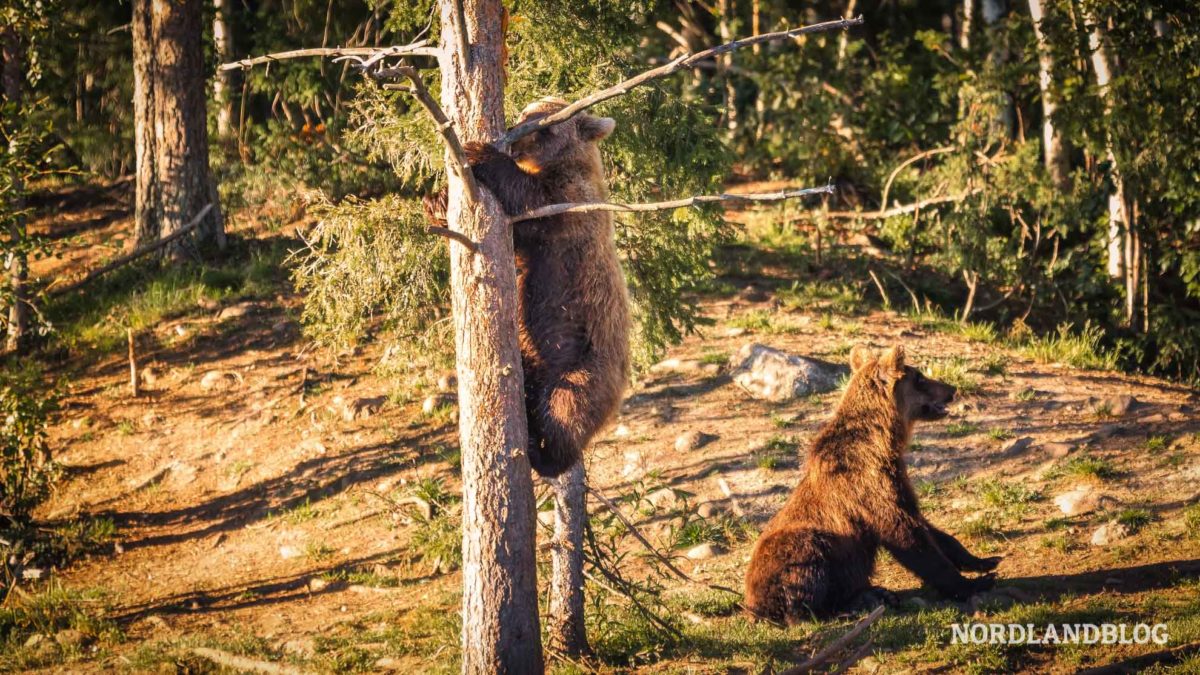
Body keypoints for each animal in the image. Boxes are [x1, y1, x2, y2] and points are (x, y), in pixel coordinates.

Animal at [744, 343, 998, 624]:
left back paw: (876, 595)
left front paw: (983, 560)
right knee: (803, 567)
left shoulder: (897, 480)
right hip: (802, 549)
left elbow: (927, 526)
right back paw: (845, 608)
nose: (952, 390)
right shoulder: (868, 485)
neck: (882, 440)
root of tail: (751, 605)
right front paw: (974, 583)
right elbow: (907, 536)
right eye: (920, 377)